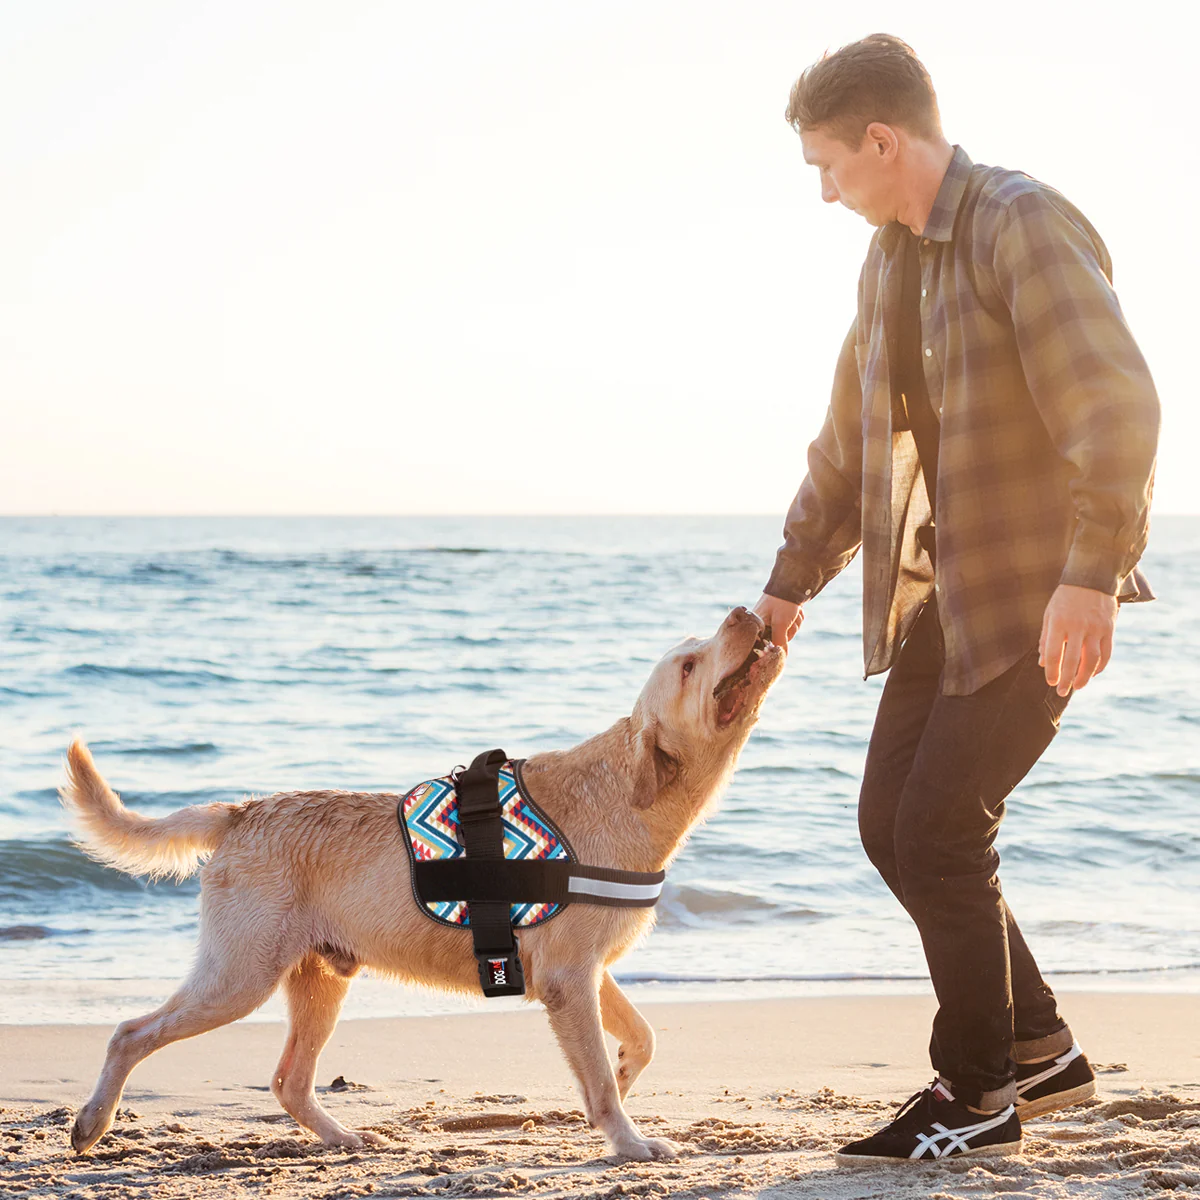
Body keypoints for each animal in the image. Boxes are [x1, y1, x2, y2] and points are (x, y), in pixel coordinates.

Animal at [60, 609, 782, 1161]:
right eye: (688, 665)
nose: (744, 613)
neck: (626, 792)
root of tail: (243, 810)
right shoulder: (568, 979)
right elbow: (599, 1080)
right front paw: (630, 1141)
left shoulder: (587, 971)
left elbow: (641, 1039)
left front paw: (627, 1079)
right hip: (238, 976)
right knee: (131, 1033)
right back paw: (93, 1122)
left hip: (316, 982)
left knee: (289, 1080)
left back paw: (344, 1138)